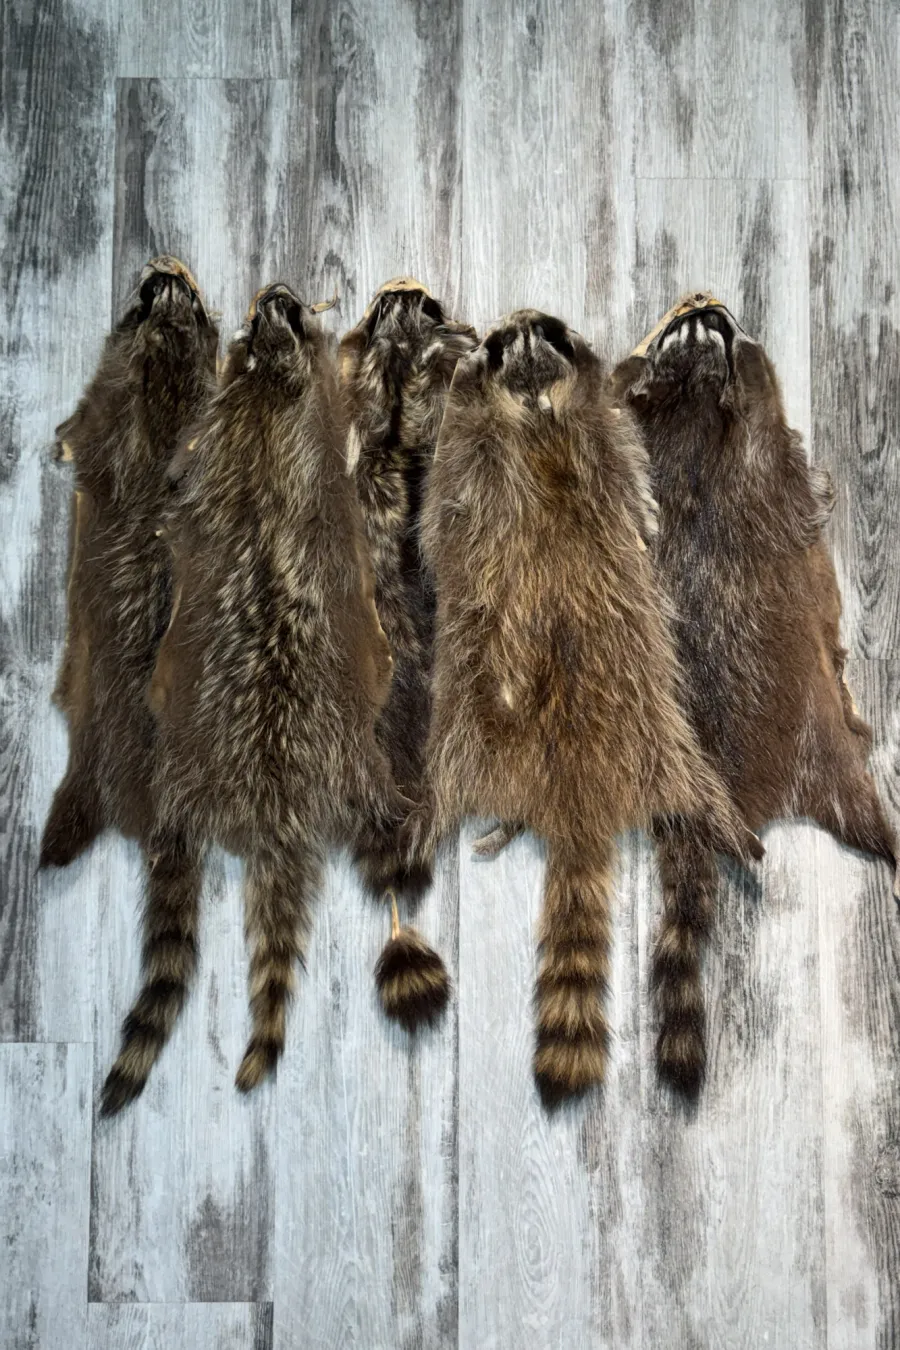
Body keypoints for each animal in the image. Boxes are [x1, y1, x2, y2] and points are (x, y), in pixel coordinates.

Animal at [419, 310, 758, 1104]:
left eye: (546, 329)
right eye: (508, 343)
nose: (516, 326)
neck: (537, 412)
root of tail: (576, 791)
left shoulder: (605, 440)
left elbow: (630, 498)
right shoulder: (487, 464)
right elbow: (444, 510)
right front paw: (459, 375)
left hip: (657, 726)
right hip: (471, 716)